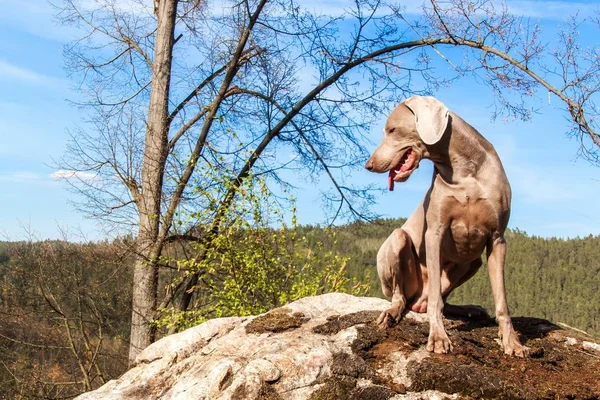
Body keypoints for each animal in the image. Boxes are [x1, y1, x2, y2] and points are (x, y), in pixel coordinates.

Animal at [366, 96, 528, 356]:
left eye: (392, 130)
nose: (368, 165)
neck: (465, 171)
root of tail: (417, 300)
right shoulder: (435, 232)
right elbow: (435, 300)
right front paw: (438, 337)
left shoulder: (497, 238)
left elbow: (502, 300)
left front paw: (512, 342)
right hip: (398, 241)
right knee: (403, 297)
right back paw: (392, 313)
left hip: (473, 262)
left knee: (445, 296)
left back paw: (469, 309)